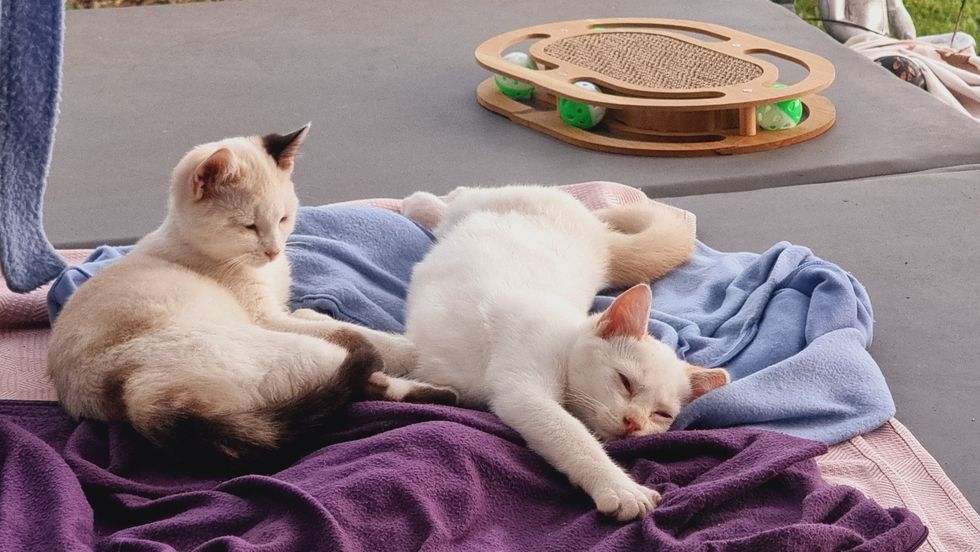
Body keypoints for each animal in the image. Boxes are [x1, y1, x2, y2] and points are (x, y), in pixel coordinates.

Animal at [47, 126, 455, 469]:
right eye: (249, 227)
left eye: (284, 219)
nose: (274, 250)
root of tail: (133, 396)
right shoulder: (269, 318)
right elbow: (361, 336)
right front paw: (406, 347)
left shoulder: (284, 308)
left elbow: (313, 316)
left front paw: (321, 315)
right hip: (290, 348)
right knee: (365, 376)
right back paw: (448, 392)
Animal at [399, 186, 730, 521]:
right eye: (625, 382)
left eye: (662, 415)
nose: (634, 423)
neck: (567, 339)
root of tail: (596, 230)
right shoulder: (525, 388)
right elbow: (573, 435)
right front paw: (621, 487)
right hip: (492, 201)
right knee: (459, 197)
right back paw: (419, 203)